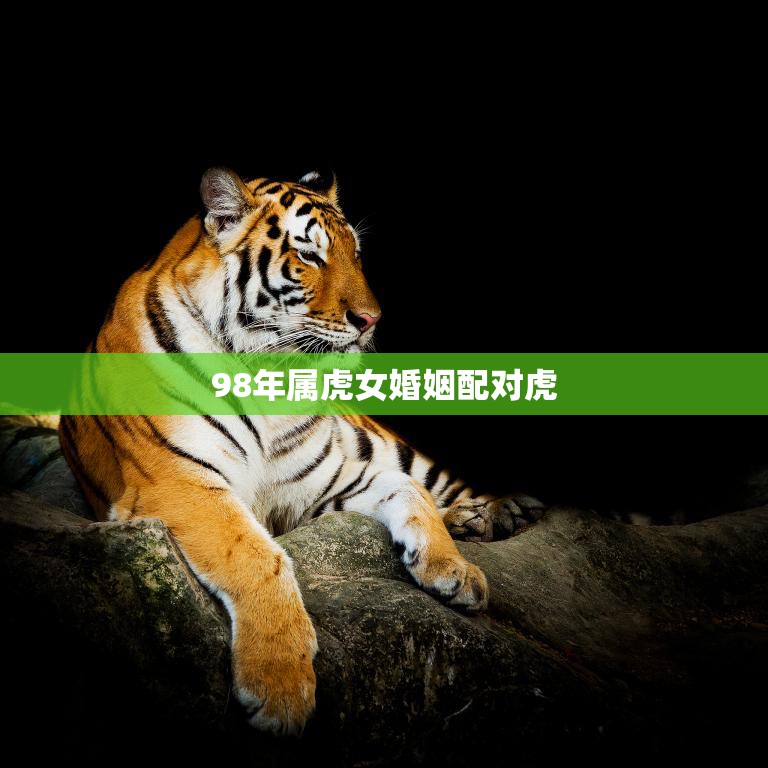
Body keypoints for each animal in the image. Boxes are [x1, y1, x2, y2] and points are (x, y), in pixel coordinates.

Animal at [59, 168, 542, 734]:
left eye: (357, 254)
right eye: (310, 256)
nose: (371, 319)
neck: (269, 375)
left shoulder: (327, 483)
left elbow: (410, 492)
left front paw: (455, 570)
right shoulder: (180, 483)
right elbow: (257, 557)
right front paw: (281, 686)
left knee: (439, 482)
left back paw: (498, 513)